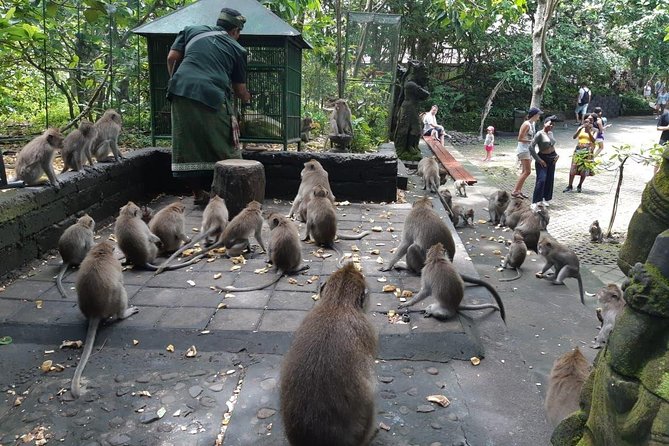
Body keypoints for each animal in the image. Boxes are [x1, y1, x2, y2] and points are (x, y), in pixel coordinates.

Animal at [71, 241, 139, 398]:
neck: (100, 252)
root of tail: (94, 312)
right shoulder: (116, 265)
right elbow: (120, 278)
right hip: (114, 301)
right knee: (120, 288)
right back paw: (124, 314)